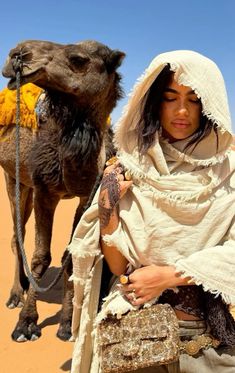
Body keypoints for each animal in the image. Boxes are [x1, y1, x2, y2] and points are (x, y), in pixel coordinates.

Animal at [0, 40, 125, 340]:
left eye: (78, 59)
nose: (17, 53)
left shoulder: (85, 194)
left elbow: (70, 255)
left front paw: (68, 323)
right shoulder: (46, 189)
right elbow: (40, 256)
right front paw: (25, 323)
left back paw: (24, 286)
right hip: (13, 177)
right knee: (17, 237)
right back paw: (15, 294)